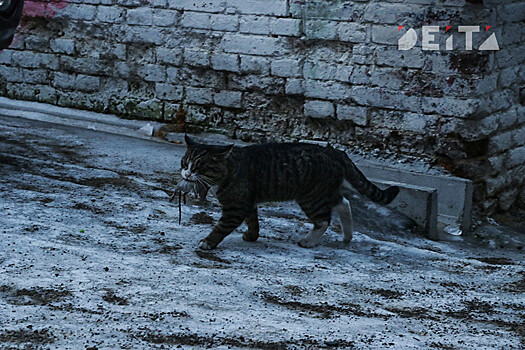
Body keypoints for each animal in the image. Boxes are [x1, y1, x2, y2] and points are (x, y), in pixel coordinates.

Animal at [178, 135, 400, 250]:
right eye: (184, 162)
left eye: (198, 167)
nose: (187, 173)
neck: (230, 169)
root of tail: (335, 152)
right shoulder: (249, 202)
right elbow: (253, 220)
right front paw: (252, 235)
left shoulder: (237, 206)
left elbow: (222, 226)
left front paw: (208, 242)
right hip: (323, 191)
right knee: (344, 203)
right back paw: (347, 237)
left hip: (311, 196)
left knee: (324, 220)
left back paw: (309, 241)